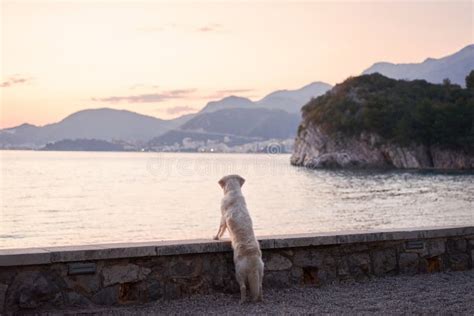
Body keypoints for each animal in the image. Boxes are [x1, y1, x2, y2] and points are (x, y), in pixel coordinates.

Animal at [214, 175, 264, 304]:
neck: (233, 191)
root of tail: (252, 261)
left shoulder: (223, 217)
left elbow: (220, 228)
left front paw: (216, 237)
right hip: (261, 271)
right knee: (260, 286)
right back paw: (259, 298)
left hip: (239, 273)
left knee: (243, 287)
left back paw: (242, 300)